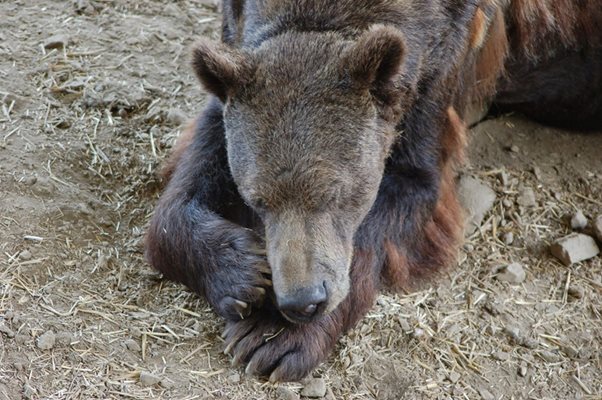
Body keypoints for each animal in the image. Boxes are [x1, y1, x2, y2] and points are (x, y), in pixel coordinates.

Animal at [145, 0, 600, 382]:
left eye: (332, 193)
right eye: (257, 199)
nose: (303, 301)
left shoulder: (441, 65)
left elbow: (404, 192)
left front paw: (270, 338)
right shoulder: (237, 46)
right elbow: (198, 163)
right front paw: (242, 273)